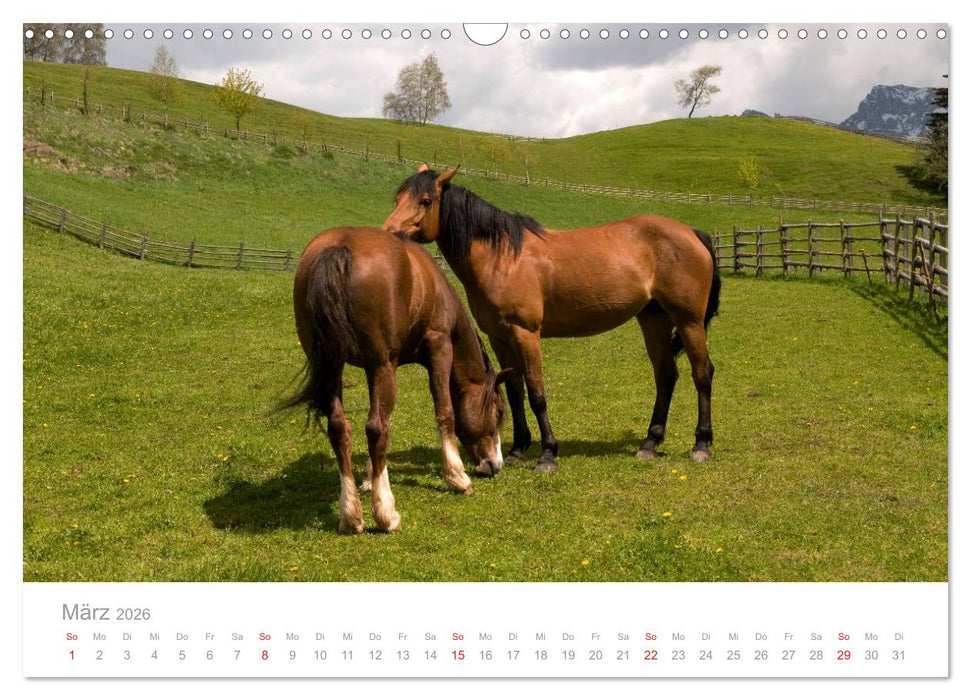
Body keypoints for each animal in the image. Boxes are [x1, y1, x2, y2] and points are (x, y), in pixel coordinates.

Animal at [282, 226, 510, 534]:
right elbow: (445, 413)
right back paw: (386, 514)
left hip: (334, 366)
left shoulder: (371, 368)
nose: (495, 464)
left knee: (341, 428)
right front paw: (457, 477)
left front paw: (369, 478)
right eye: (498, 413)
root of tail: (340, 248)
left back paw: (350, 515)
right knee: (377, 428)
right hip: (381, 364)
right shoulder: (439, 347)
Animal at [383, 164, 720, 473]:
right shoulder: (500, 337)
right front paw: (518, 449)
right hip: (654, 320)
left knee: (702, 373)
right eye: (397, 197)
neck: (503, 257)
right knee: (665, 375)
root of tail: (692, 233)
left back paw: (701, 444)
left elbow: (536, 393)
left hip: (688, 321)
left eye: (426, 200)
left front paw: (547, 454)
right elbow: (515, 391)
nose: (390, 234)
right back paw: (649, 443)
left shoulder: (526, 334)